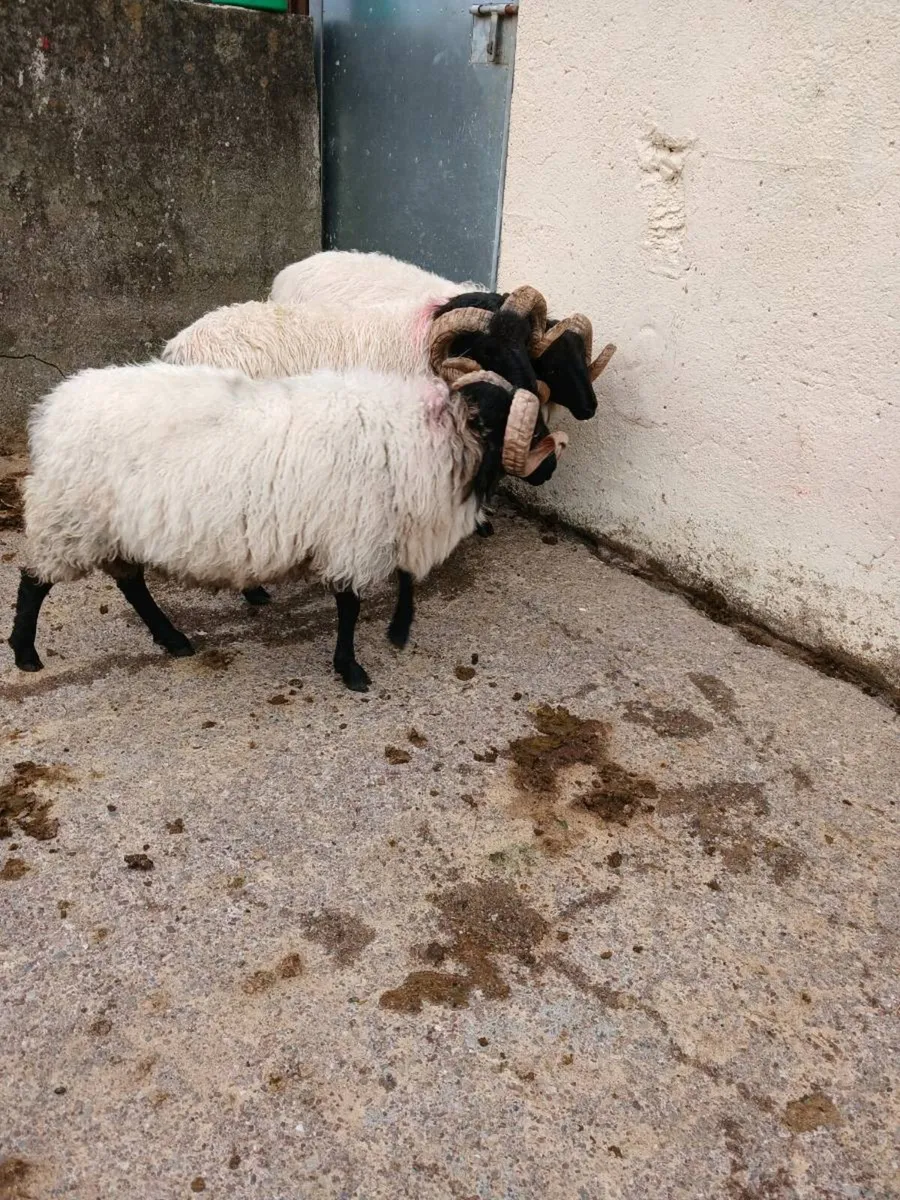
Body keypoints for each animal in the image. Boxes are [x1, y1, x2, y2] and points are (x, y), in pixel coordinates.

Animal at [8, 358, 567, 692]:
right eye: (502, 418)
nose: (550, 468)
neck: (427, 439)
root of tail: (51, 410)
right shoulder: (354, 533)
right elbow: (350, 604)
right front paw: (351, 668)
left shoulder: (390, 524)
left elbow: (406, 580)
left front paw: (400, 630)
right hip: (68, 516)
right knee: (34, 580)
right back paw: (25, 653)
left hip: (107, 526)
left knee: (131, 583)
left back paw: (172, 638)